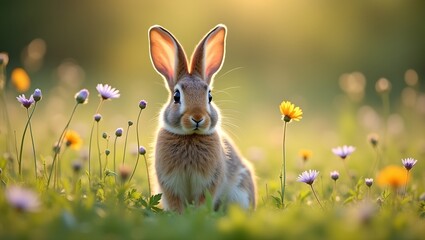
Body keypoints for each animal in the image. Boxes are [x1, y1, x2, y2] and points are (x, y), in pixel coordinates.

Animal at [148, 24, 255, 212]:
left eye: (210, 97)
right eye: (176, 96)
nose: (197, 117)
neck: (190, 137)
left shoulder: (209, 183)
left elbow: (203, 201)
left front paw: (198, 214)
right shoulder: (170, 184)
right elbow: (175, 203)